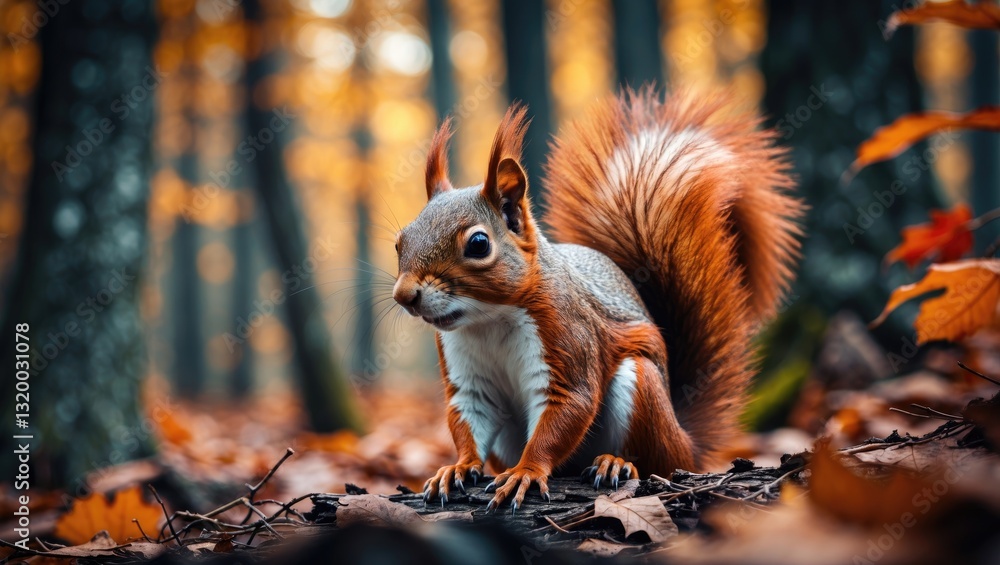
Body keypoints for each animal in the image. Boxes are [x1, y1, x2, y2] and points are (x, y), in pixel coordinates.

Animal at [392, 88, 803, 513]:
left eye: (478, 244)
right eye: (400, 242)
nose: (404, 296)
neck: (487, 319)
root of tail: (687, 443)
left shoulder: (567, 334)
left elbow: (568, 408)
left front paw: (526, 472)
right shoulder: (466, 375)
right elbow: (468, 418)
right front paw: (458, 467)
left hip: (642, 389)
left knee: (653, 460)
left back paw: (616, 463)